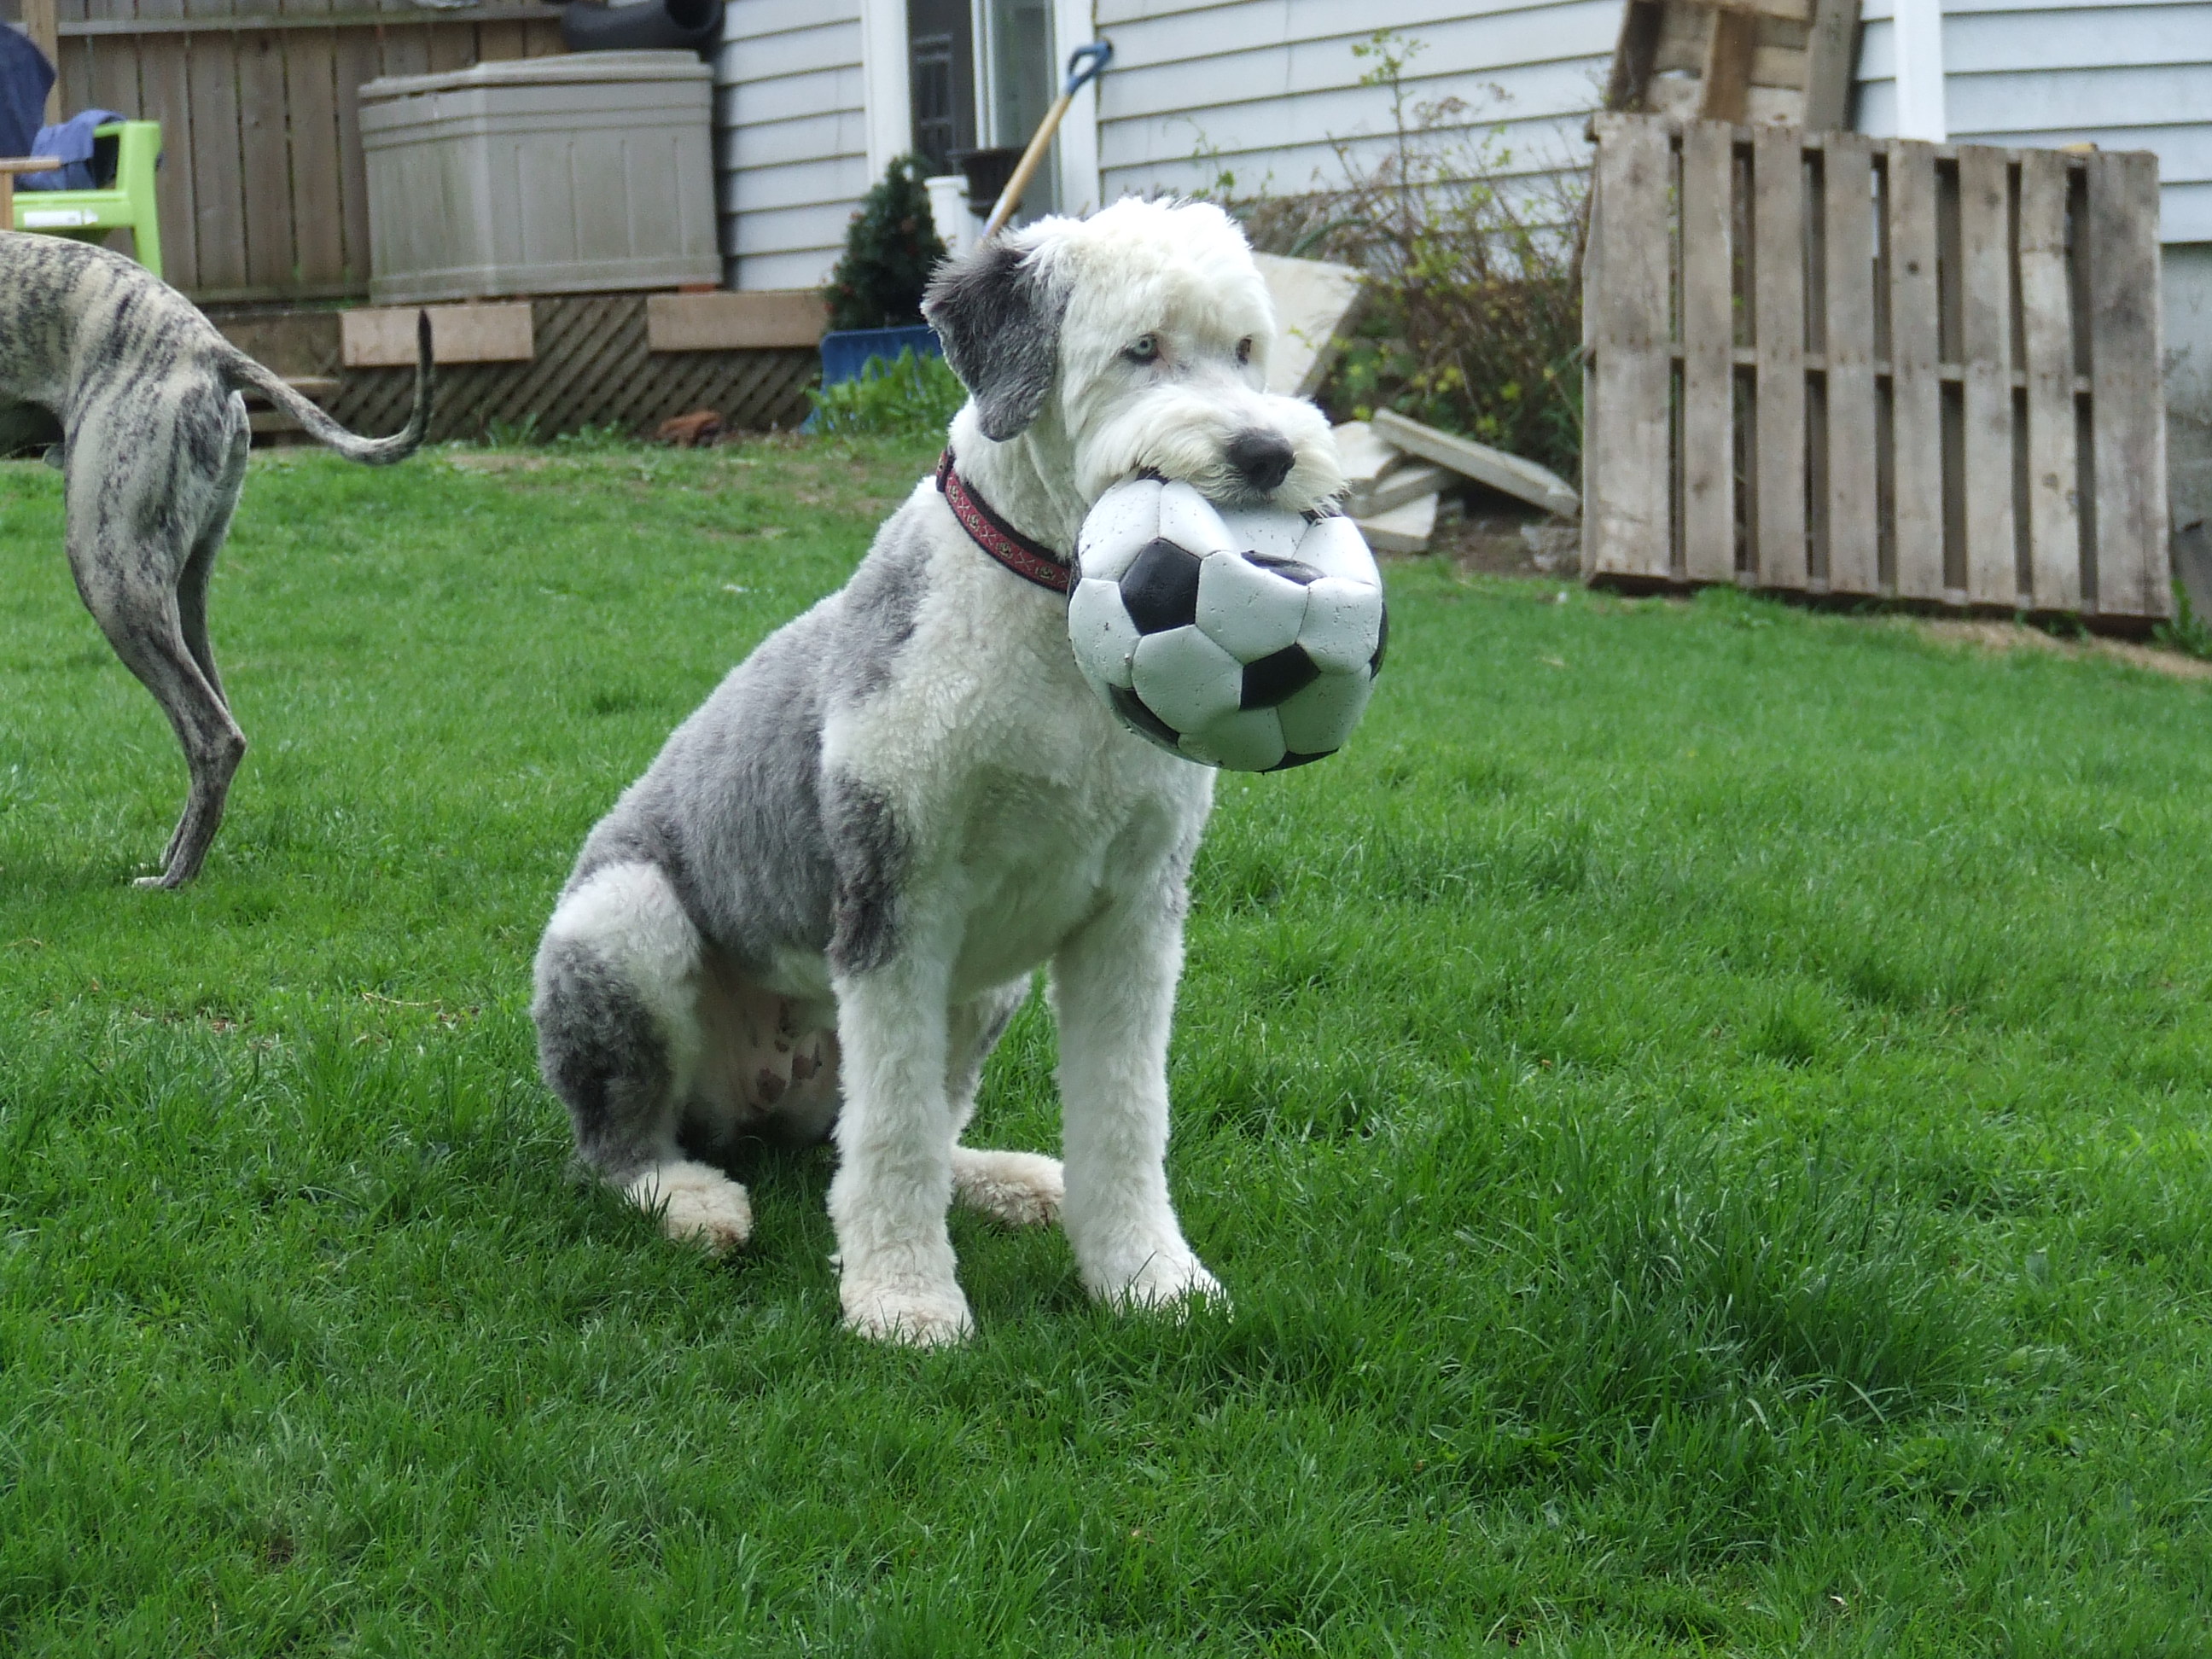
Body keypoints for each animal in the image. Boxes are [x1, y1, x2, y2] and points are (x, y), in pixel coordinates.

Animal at [0, 230, 428, 898]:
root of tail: (210, 348)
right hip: (179, 587)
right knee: (217, 722)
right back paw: (181, 854)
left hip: (109, 569)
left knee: (213, 733)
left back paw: (174, 878)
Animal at [531, 197, 1344, 1353]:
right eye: (1141, 349)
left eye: (1243, 350)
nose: (1269, 454)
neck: (1054, 619)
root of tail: (762, 1093)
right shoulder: (895, 900)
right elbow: (895, 1132)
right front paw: (904, 1301)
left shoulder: (1136, 915)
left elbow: (1125, 1112)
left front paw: (1149, 1277)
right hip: (623, 923)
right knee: (622, 1144)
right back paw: (691, 1200)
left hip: (984, 990)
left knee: (863, 1137)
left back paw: (1006, 1180)